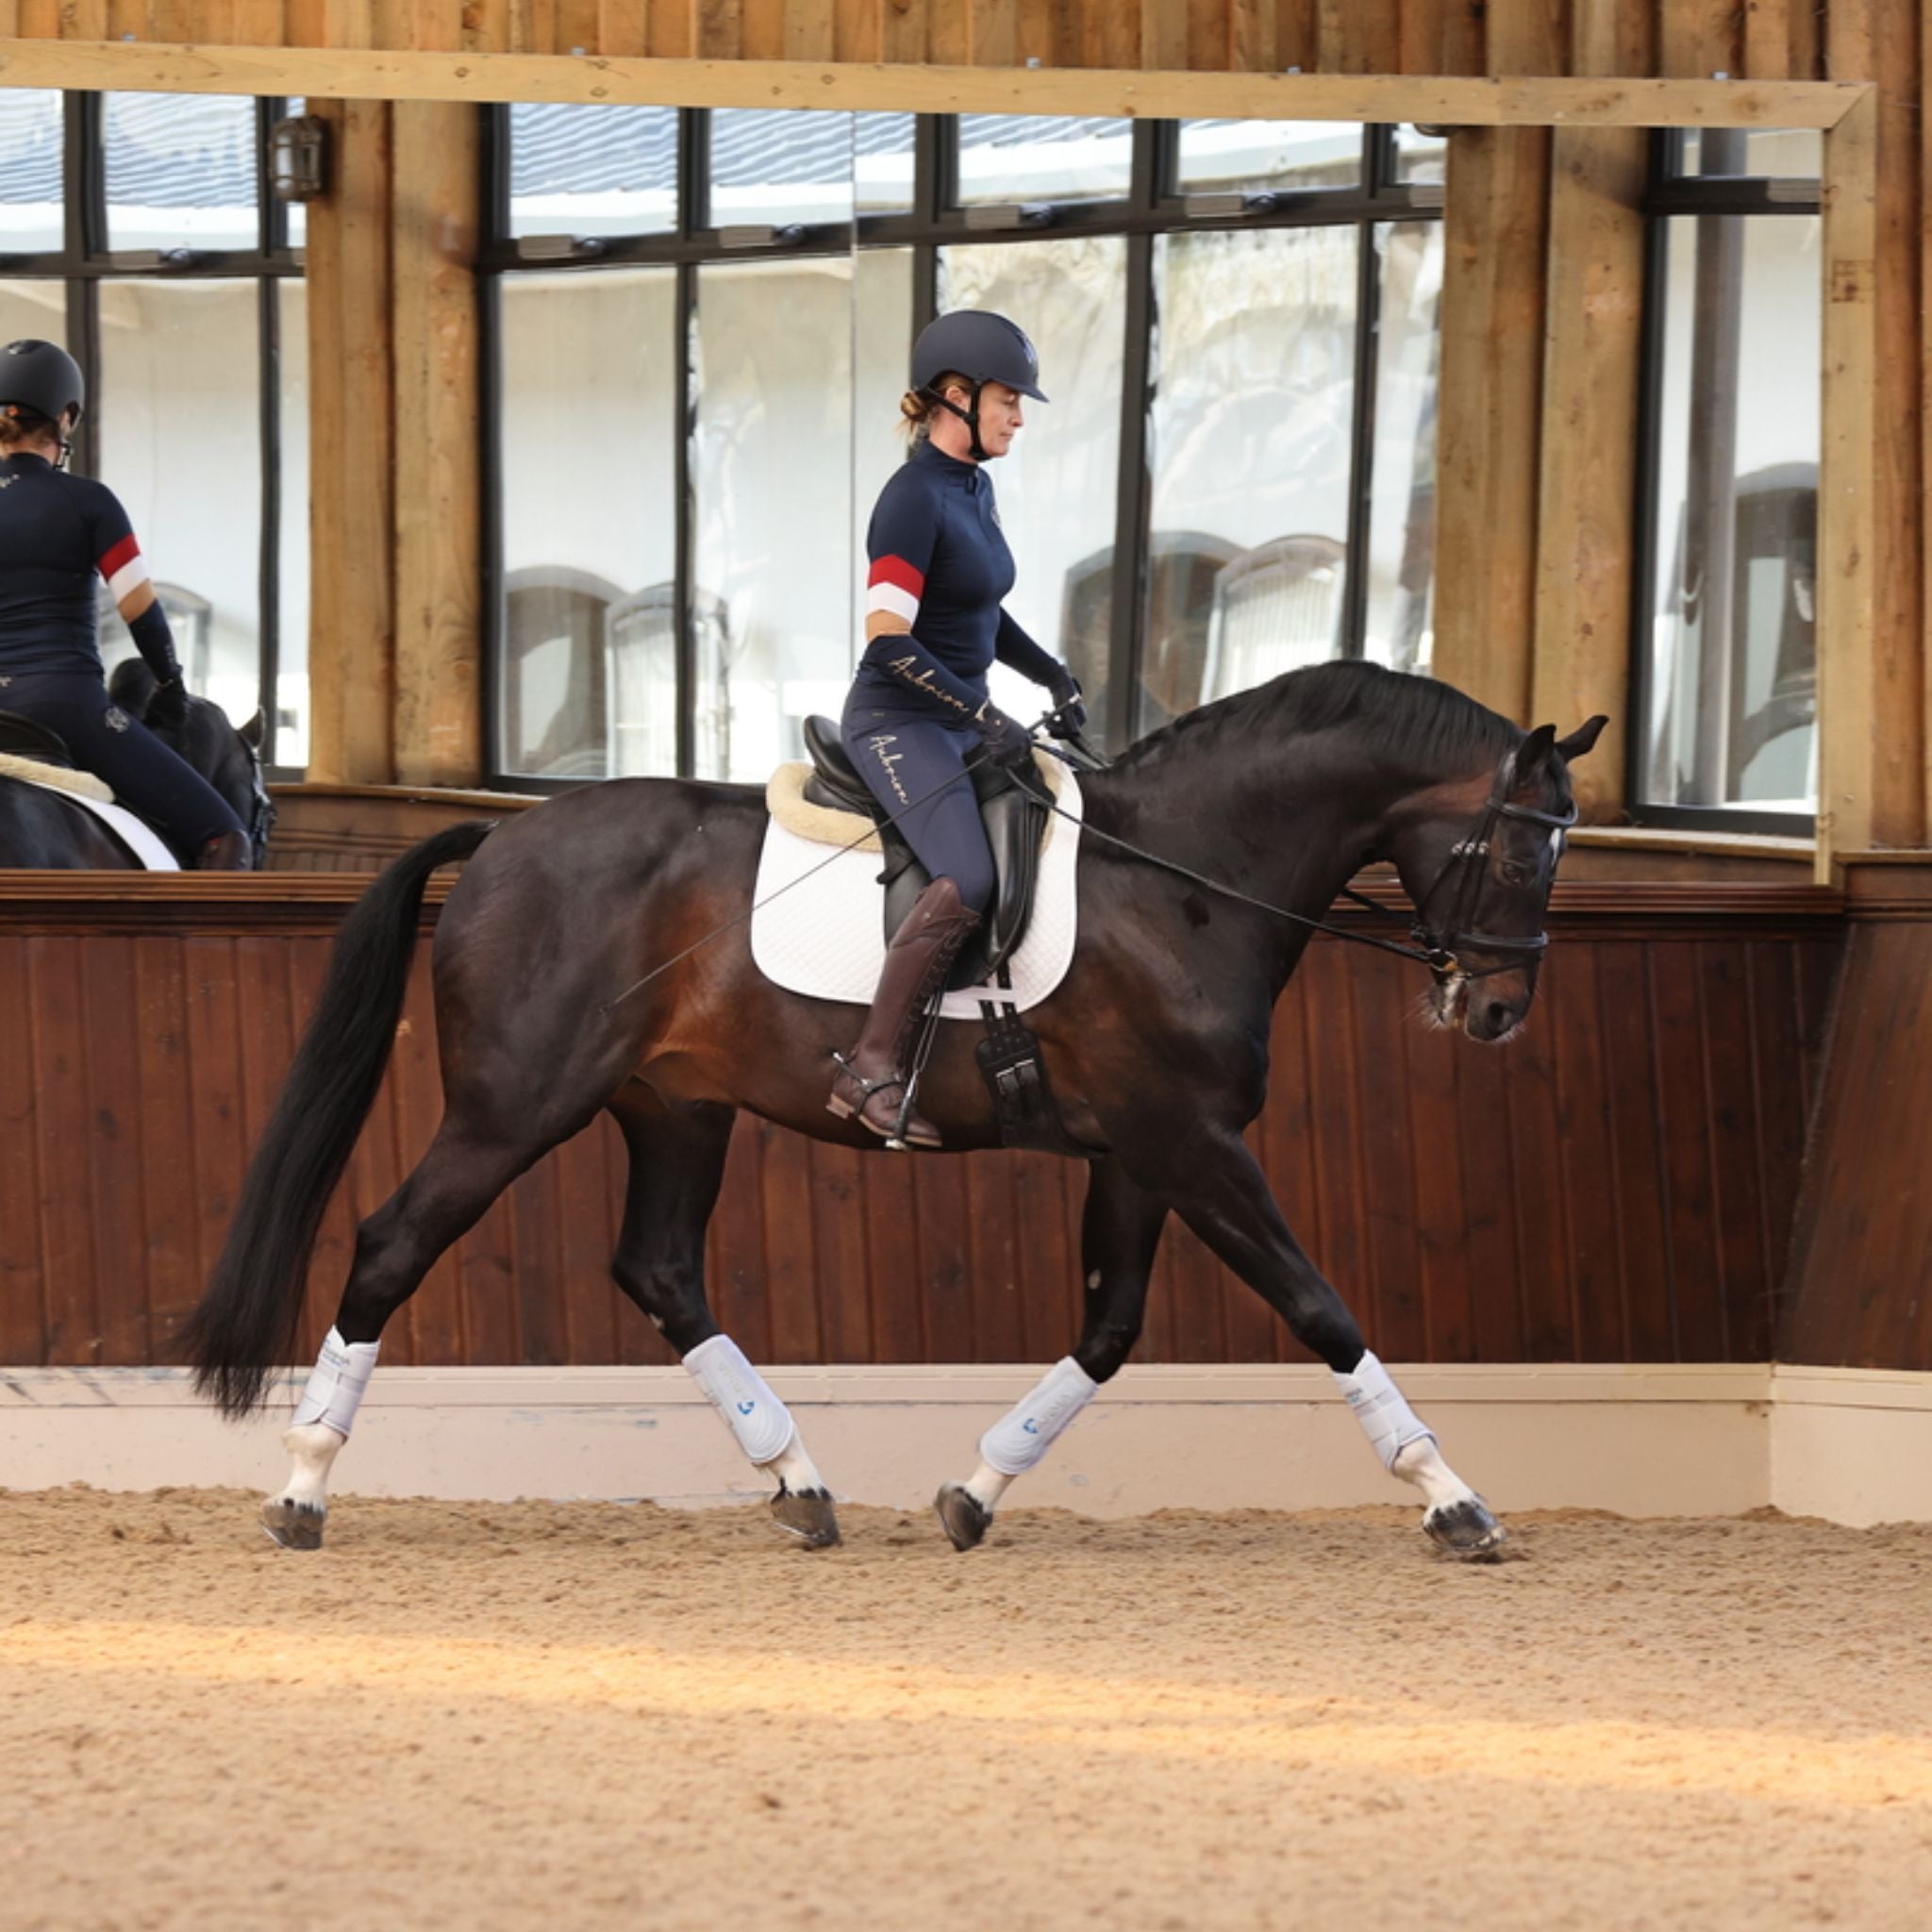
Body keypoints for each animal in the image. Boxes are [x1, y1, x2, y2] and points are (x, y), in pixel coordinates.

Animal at [183, 661, 1604, 1557]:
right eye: (1519, 850)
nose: (1496, 1012)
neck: (1185, 881)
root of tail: (504, 838)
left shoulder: (1144, 1153)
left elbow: (1107, 1331)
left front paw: (975, 1493)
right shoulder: (1193, 1146)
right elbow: (1320, 1309)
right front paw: (1450, 1498)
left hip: (677, 1106)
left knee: (659, 1267)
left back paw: (800, 1482)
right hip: (515, 1105)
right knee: (391, 1244)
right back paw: (302, 1488)